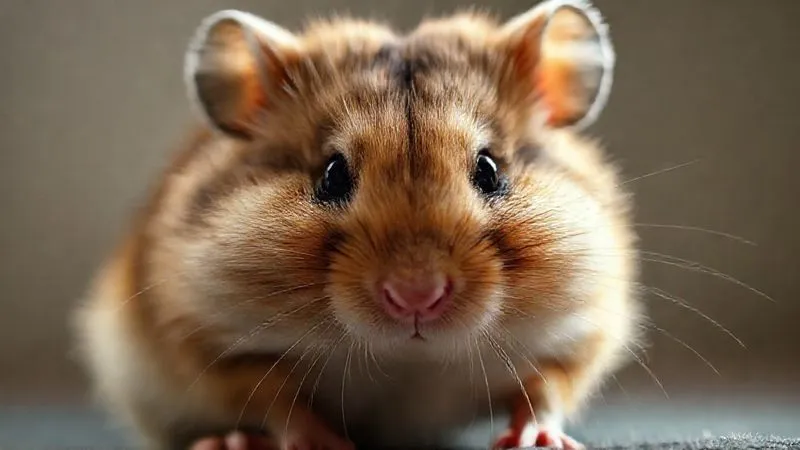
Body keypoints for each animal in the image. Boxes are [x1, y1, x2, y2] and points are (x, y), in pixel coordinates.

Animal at [74, 0, 641, 449]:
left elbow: (545, 391)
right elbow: (276, 401)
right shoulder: (208, 345)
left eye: (489, 169)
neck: (410, 361)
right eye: (331, 174)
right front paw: (326, 444)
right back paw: (228, 443)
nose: (416, 297)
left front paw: (537, 441)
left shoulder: (582, 336)